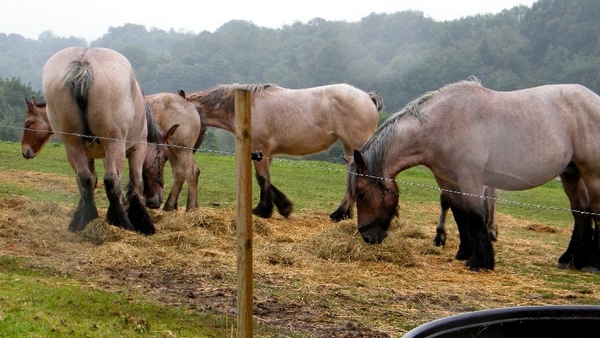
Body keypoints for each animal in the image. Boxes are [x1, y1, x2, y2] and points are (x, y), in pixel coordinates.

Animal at [22, 90, 205, 211]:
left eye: (28, 125)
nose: (25, 151)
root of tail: (190, 105)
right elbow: (91, 178)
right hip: (175, 151)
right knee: (180, 174)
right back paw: (170, 206)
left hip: (181, 151)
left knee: (190, 172)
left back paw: (190, 208)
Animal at [40, 45, 178, 235]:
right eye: (164, 157)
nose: (156, 200)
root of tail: (83, 63)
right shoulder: (138, 148)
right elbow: (136, 182)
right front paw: (141, 221)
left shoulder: (93, 153)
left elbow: (91, 180)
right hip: (114, 144)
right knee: (111, 180)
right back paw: (123, 222)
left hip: (72, 144)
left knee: (84, 178)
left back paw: (89, 219)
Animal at [182, 82, 384, 219]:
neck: (247, 107)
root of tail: (368, 97)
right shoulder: (265, 154)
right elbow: (267, 180)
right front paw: (284, 206)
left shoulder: (260, 150)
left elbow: (262, 179)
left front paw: (262, 210)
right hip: (350, 147)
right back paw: (341, 214)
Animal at [350, 77, 600, 272]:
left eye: (361, 194)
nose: (367, 236)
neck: (443, 124)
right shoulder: (448, 180)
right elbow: (460, 213)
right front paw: (464, 251)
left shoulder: (470, 178)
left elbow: (475, 214)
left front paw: (480, 261)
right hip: (571, 174)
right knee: (581, 213)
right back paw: (570, 259)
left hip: (592, 174)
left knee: (595, 212)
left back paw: (591, 264)